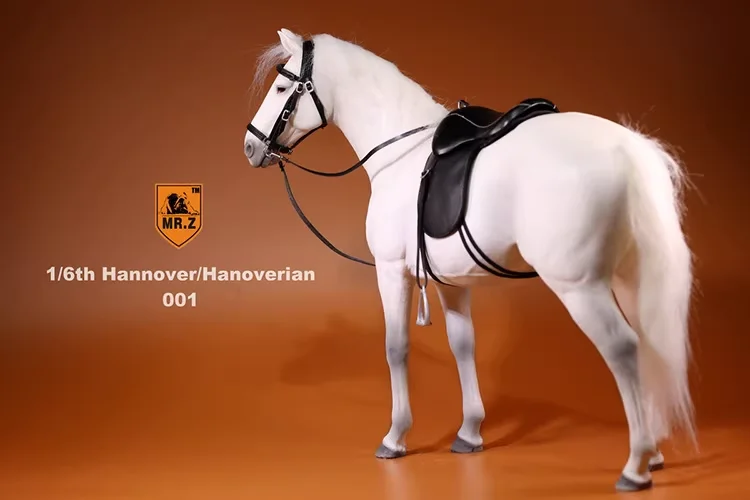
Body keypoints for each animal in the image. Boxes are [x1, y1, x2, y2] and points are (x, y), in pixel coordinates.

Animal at [243, 28, 696, 492]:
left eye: (281, 88)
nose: (250, 146)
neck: (402, 155)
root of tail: (629, 148)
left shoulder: (391, 271)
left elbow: (396, 347)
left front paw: (395, 437)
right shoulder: (451, 283)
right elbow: (463, 345)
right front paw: (470, 432)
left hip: (580, 287)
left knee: (623, 347)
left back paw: (636, 463)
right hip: (629, 278)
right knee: (649, 346)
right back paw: (654, 453)